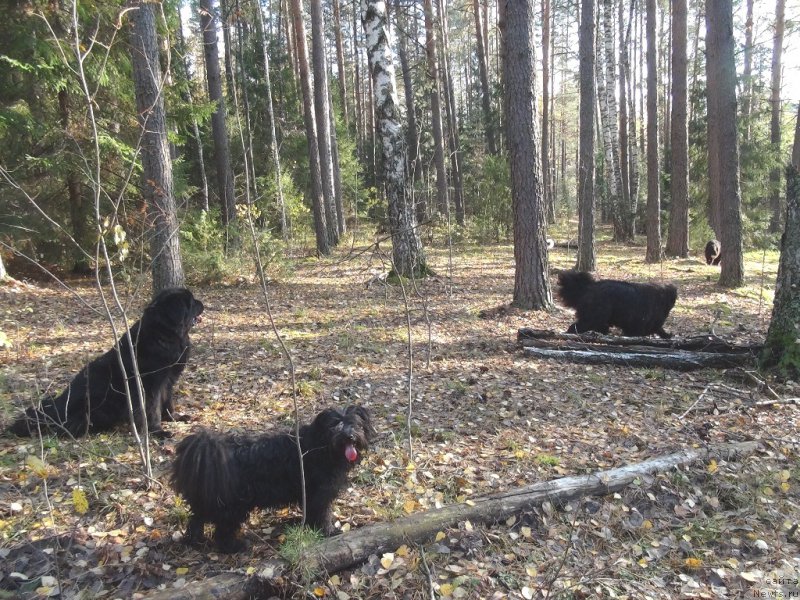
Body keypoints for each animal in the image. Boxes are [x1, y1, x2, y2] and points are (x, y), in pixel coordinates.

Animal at [8, 288, 203, 438]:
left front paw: (174, 417)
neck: (164, 333)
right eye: (191, 303)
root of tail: (58, 406)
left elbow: (168, 401)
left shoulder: (167, 381)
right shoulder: (149, 386)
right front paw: (157, 432)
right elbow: (152, 410)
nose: (202, 303)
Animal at [170, 404, 376, 552]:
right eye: (335, 426)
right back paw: (234, 546)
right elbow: (323, 513)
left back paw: (194, 541)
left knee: (197, 519)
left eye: (355, 423)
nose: (349, 437)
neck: (321, 447)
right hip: (232, 505)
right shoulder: (320, 493)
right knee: (223, 529)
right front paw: (329, 531)